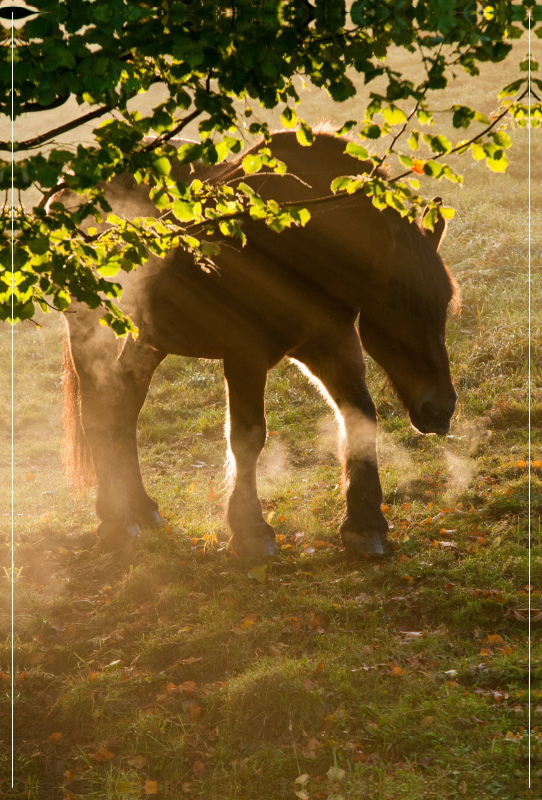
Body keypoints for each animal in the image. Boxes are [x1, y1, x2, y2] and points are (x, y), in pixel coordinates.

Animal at [58, 128, 460, 560]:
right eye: (394, 302)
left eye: (444, 302)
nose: (441, 408)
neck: (303, 240)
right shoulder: (244, 355)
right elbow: (248, 437)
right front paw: (251, 531)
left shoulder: (332, 344)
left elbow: (360, 419)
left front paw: (364, 525)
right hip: (92, 333)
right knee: (97, 412)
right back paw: (115, 518)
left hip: (146, 340)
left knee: (124, 408)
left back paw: (141, 507)